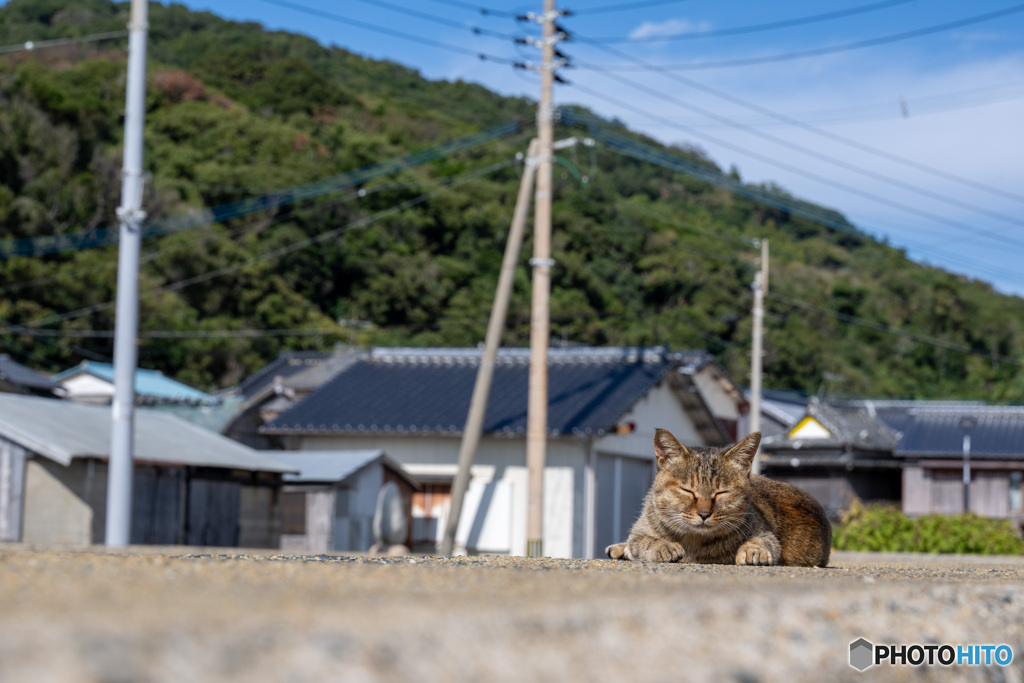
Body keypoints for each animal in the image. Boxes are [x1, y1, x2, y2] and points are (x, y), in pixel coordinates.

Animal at [606, 430, 831, 569]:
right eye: (688, 490)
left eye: (721, 493)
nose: (704, 514)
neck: (693, 541)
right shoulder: (640, 531)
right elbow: (643, 540)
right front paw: (663, 546)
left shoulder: (766, 533)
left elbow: (763, 541)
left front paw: (753, 550)